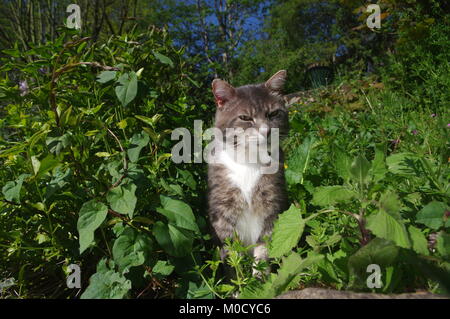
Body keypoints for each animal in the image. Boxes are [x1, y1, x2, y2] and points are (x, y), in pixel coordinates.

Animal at [207, 70, 288, 278]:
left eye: (273, 113)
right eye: (245, 118)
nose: (266, 131)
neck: (249, 161)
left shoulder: (272, 206)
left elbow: (264, 247)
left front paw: (260, 279)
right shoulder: (223, 212)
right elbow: (232, 255)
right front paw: (238, 283)